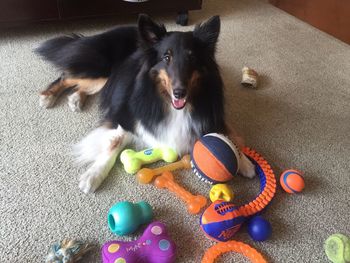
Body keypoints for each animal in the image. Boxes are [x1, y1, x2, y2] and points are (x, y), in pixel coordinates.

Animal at [35, 14, 256, 194]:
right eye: (166, 57)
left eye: (192, 58)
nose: (180, 92)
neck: (169, 103)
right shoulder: (126, 117)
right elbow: (113, 143)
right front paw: (93, 176)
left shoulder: (211, 114)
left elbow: (230, 132)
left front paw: (244, 162)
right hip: (100, 72)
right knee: (67, 76)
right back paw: (48, 96)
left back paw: (75, 99)